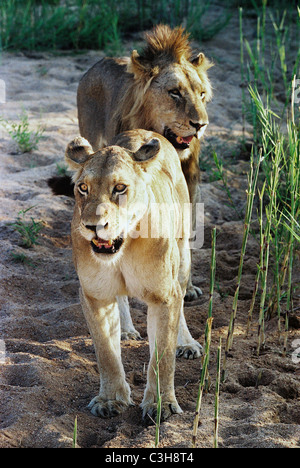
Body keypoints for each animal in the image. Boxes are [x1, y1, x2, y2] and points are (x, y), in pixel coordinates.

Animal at [67, 129, 200, 420]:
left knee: (182, 298)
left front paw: (160, 406)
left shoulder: (164, 295)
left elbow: (162, 356)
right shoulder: (94, 295)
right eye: (83, 188)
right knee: (122, 300)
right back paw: (126, 331)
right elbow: (105, 352)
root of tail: (143, 131)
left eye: (120, 188)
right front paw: (110, 399)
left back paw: (186, 343)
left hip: (183, 251)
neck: (123, 248)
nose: (93, 226)